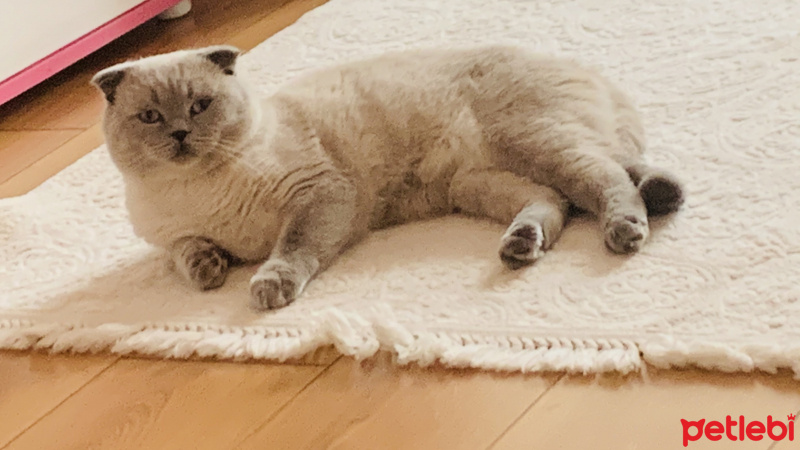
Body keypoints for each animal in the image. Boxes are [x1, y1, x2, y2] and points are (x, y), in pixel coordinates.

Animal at [92, 45, 680, 312]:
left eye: (200, 105)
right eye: (150, 117)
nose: (180, 135)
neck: (198, 189)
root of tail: (589, 70)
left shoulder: (318, 196)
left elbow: (291, 248)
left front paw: (266, 285)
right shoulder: (170, 237)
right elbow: (188, 254)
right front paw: (210, 270)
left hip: (535, 143)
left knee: (608, 178)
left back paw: (629, 227)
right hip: (479, 181)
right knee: (555, 201)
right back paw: (521, 245)